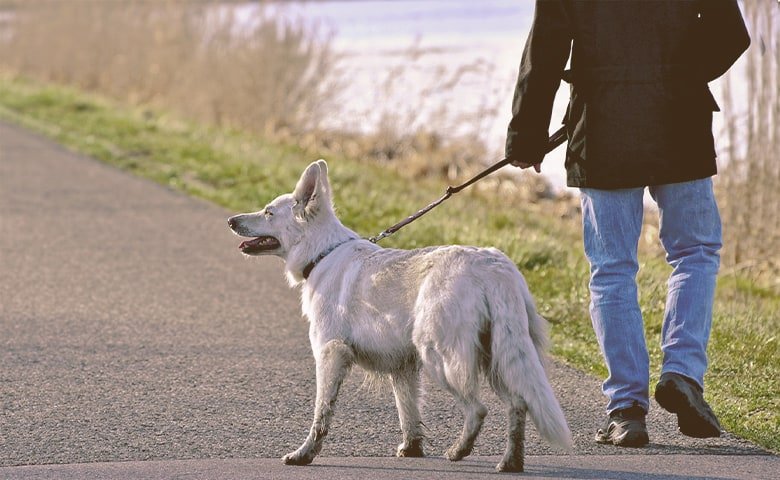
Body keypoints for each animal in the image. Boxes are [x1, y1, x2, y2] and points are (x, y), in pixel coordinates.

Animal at [229, 161, 568, 472]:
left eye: (268, 212)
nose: (231, 220)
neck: (322, 253)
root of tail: (493, 266)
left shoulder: (330, 354)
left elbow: (321, 414)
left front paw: (305, 454)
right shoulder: (402, 367)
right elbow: (409, 412)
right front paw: (412, 449)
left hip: (441, 358)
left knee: (478, 409)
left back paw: (459, 451)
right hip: (498, 357)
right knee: (518, 404)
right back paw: (511, 462)